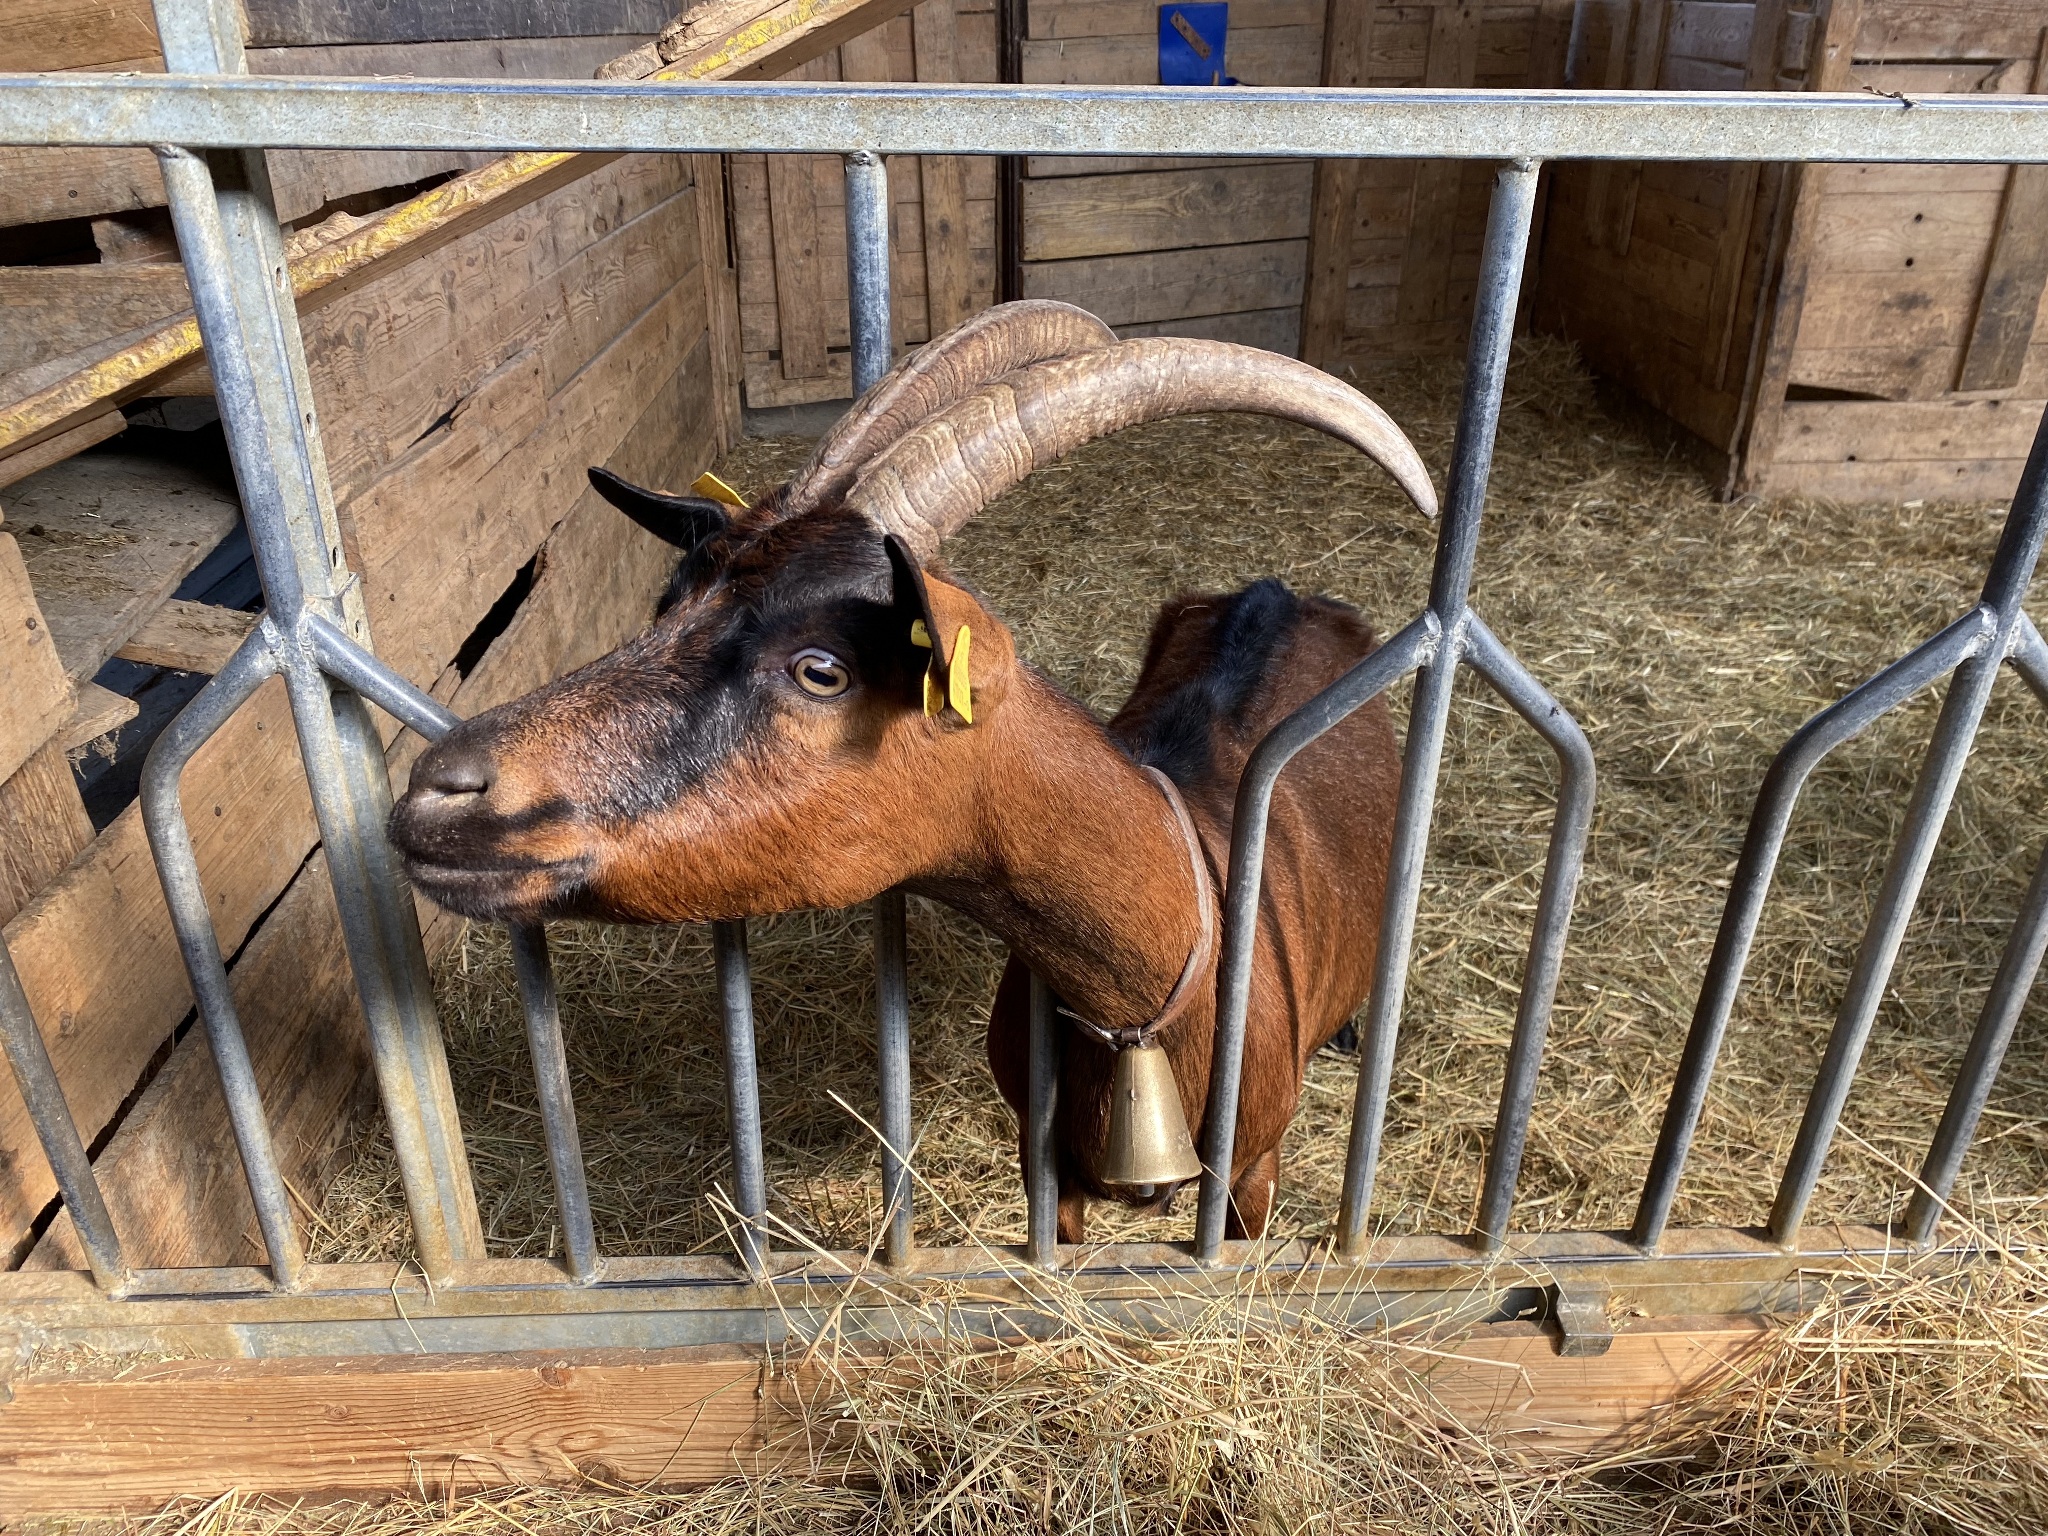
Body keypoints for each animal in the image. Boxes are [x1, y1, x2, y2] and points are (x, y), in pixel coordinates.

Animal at [387, 300, 1438, 1240]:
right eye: (668, 601)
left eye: (822, 669)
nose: (439, 789)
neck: (1155, 982)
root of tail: (1285, 592)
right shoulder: (1046, 1168)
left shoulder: (1251, 1177)